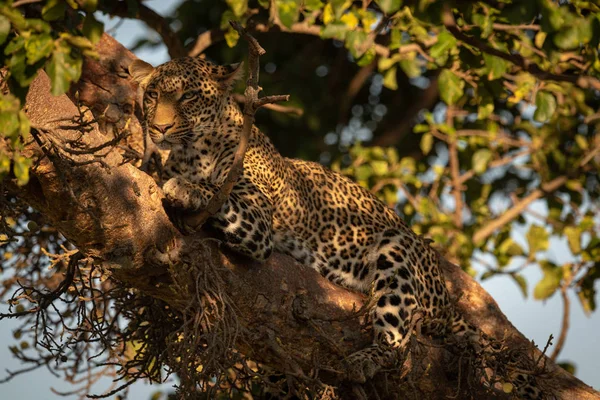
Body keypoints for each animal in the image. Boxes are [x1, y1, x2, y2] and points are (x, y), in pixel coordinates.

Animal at [129, 57, 540, 400]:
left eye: (188, 96)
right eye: (153, 95)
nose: (159, 127)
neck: (190, 153)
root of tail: (447, 298)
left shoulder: (257, 219)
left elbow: (214, 193)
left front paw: (183, 188)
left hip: (397, 247)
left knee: (400, 341)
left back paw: (365, 360)